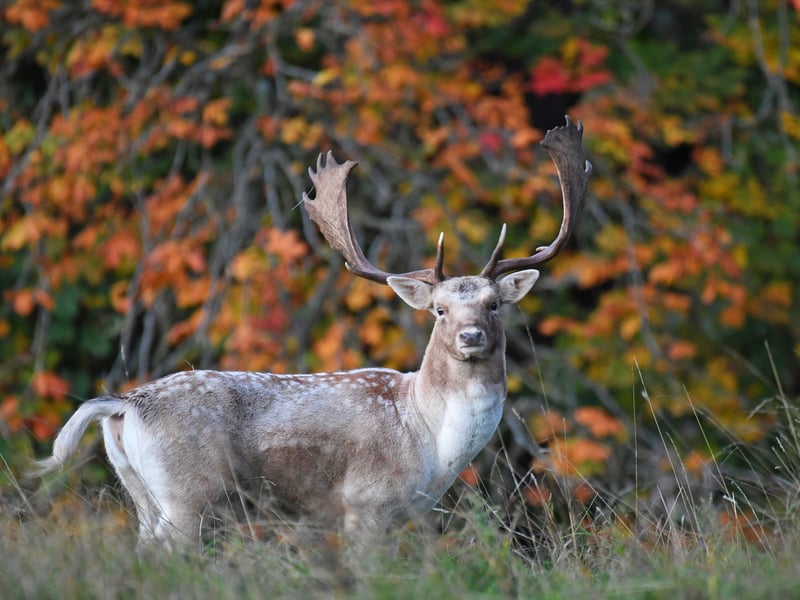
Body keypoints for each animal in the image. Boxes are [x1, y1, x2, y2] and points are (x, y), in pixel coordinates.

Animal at [33, 116, 591, 550]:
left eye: (494, 303)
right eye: (438, 309)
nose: (471, 336)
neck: (429, 440)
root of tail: (124, 404)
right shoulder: (365, 503)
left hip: (143, 497)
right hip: (186, 496)